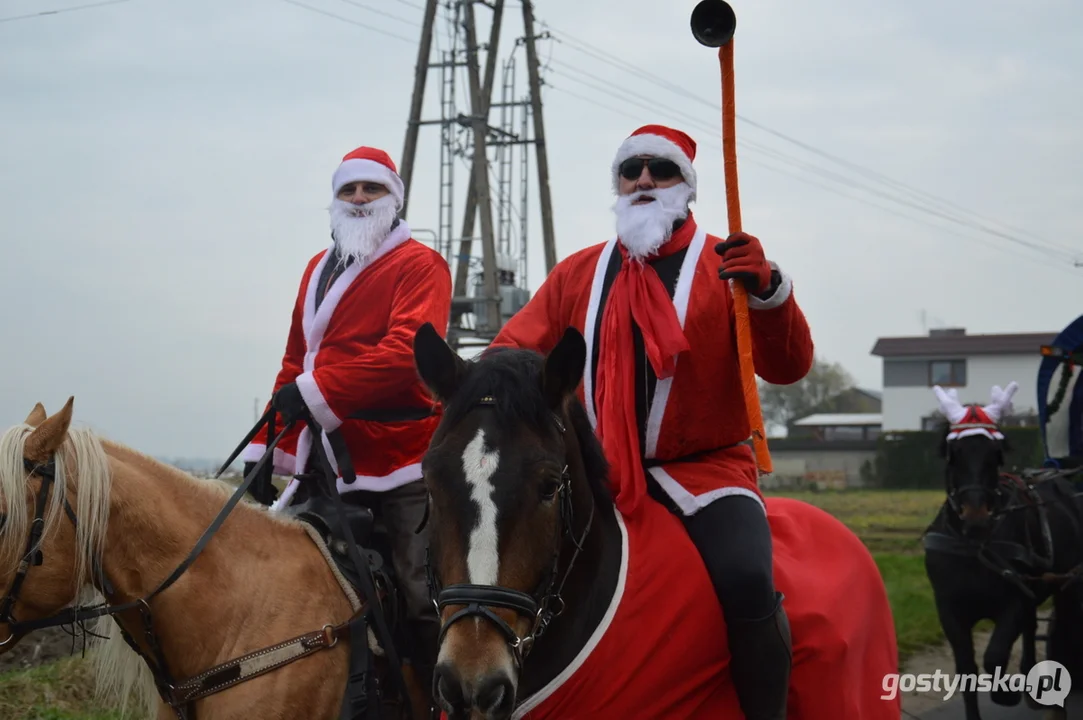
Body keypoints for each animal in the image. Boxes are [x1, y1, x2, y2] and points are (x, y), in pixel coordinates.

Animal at [922, 381, 1083, 718]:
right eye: (953, 454)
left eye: (995, 455)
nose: (976, 516)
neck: (974, 546)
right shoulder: (950, 610)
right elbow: (967, 671)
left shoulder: (1012, 602)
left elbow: (994, 655)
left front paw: (1005, 693)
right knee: (1032, 625)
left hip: (1068, 583)